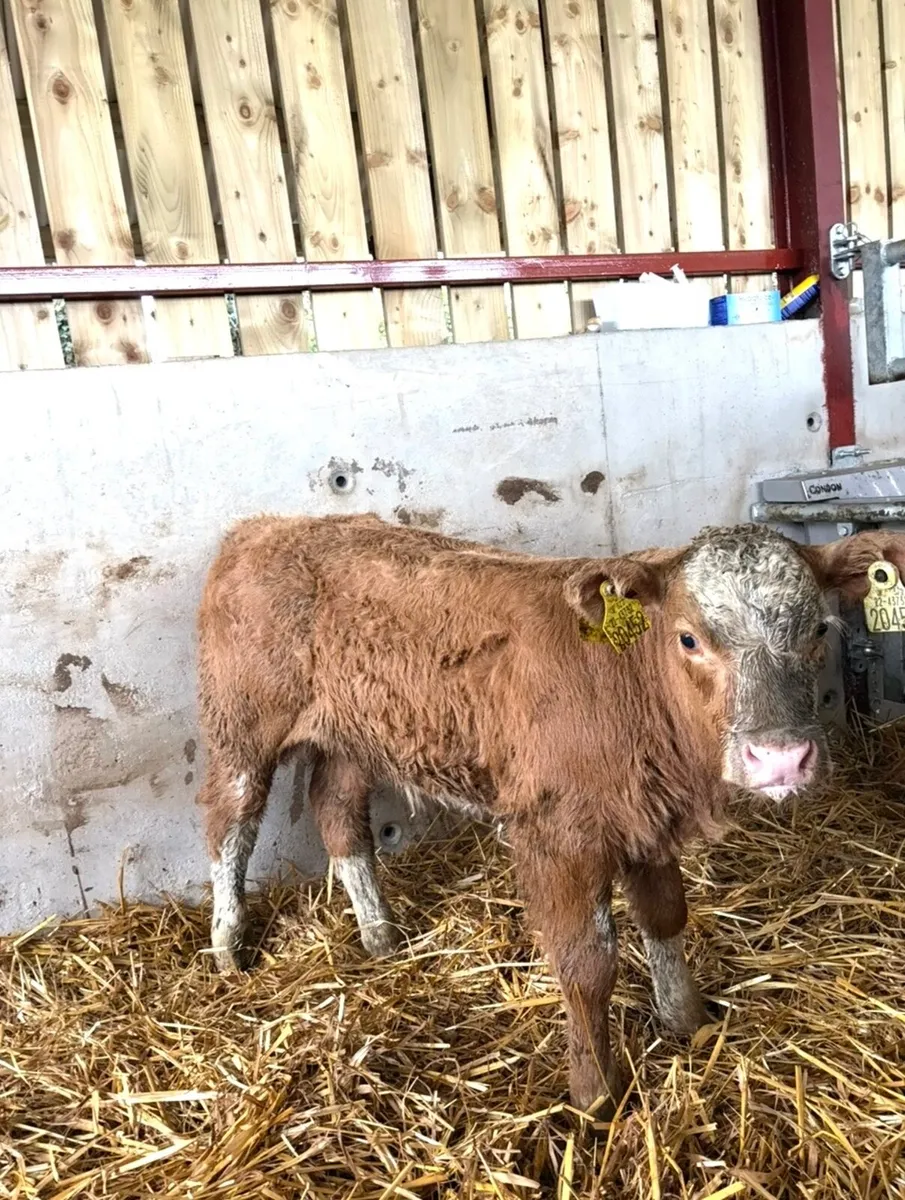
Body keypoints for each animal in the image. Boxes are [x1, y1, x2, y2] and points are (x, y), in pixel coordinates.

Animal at [196, 514, 905, 1112]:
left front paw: (688, 1022)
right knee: (231, 822)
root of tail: (264, 526)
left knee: (338, 814)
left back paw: (380, 937)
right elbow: (587, 964)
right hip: (241, 724)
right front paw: (596, 1095)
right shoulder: (559, 834)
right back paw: (228, 946)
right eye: (689, 638)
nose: (781, 758)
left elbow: (665, 916)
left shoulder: (646, 817)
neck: (627, 685)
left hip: (353, 735)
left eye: (818, 630)